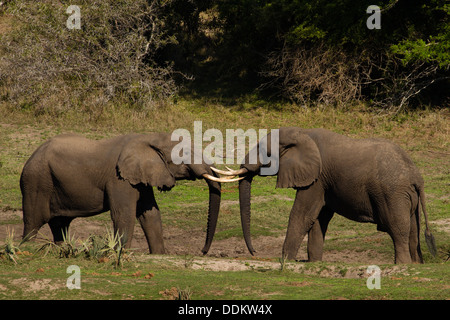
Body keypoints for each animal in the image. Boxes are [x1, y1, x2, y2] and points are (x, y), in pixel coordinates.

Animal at [20, 132, 232, 255]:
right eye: (185, 153)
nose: (202, 251)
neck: (148, 139)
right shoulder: (119, 179)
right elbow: (124, 214)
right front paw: (122, 253)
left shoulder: (140, 177)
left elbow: (150, 214)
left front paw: (159, 255)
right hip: (36, 182)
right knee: (33, 222)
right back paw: (27, 248)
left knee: (60, 225)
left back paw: (62, 249)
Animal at [213, 126, 438, 264]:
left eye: (264, 151)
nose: (254, 253)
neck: (301, 133)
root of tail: (417, 176)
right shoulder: (323, 182)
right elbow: (319, 218)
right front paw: (313, 263)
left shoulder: (317, 178)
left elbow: (302, 214)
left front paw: (285, 261)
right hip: (406, 196)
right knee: (412, 230)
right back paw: (415, 265)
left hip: (392, 193)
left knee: (398, 228)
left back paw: (401, 265)